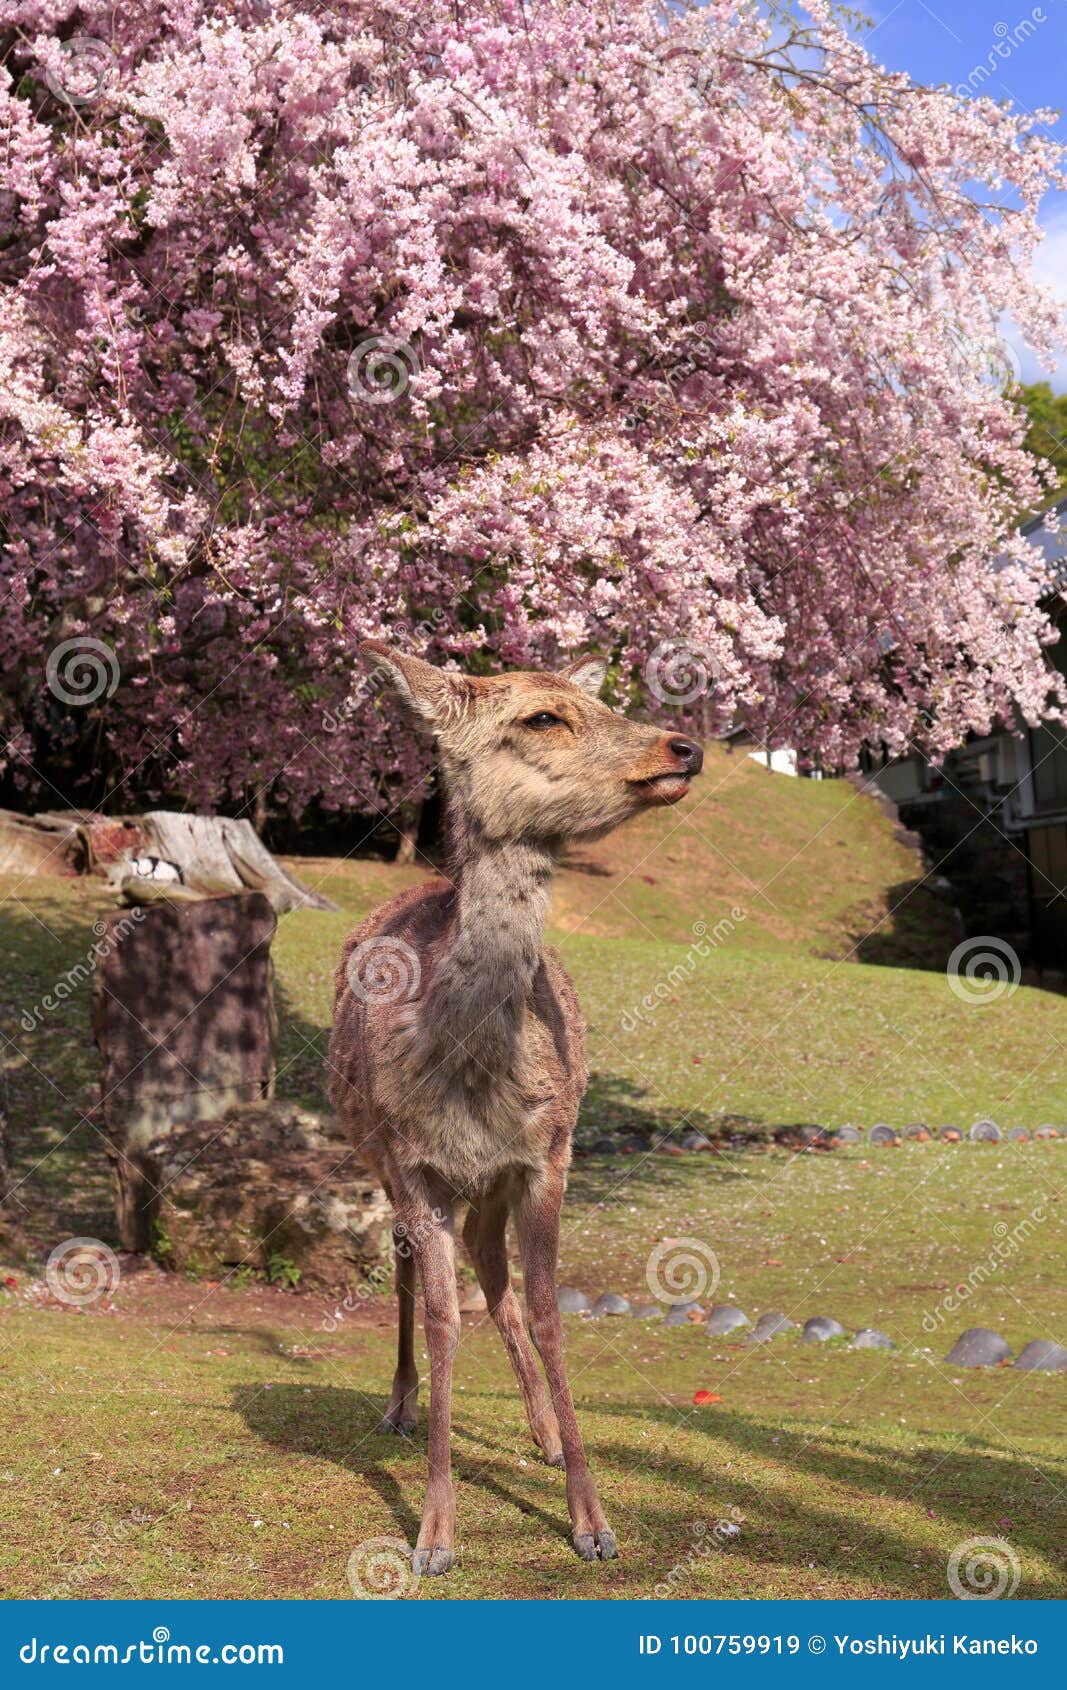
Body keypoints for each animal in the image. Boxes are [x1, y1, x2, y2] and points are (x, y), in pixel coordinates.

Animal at [327, 644, 703, 1575]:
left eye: (599, 700)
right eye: (541, 716)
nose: (683, 746)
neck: (469, 1071)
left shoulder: (546, 1153)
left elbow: (544, 1310)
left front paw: (592, 1520)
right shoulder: (413, 1166)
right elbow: (439, 1317)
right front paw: (433, 1535)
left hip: (491, 1188)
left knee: (492, 1275)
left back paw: (541, 1431)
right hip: (382, 1162)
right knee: (416, 1270)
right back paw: (398, 1406)